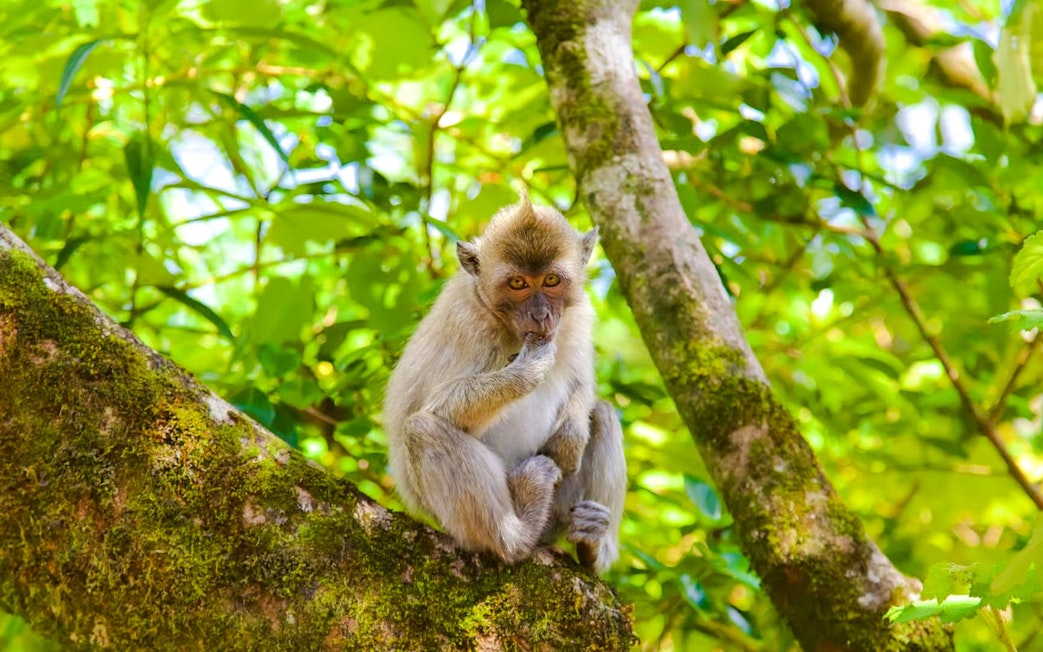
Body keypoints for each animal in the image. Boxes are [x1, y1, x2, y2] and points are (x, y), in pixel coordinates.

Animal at [383, 193, 626, 573]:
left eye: (551, 280)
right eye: (518, 284)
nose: (541, 315)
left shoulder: (579, 315)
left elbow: (583, 384)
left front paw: (570, 438)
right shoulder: (468, 323)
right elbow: (436, 408)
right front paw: (527, 370)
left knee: (602, 414)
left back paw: (592, 545)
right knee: (422, 430)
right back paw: (516, 533)